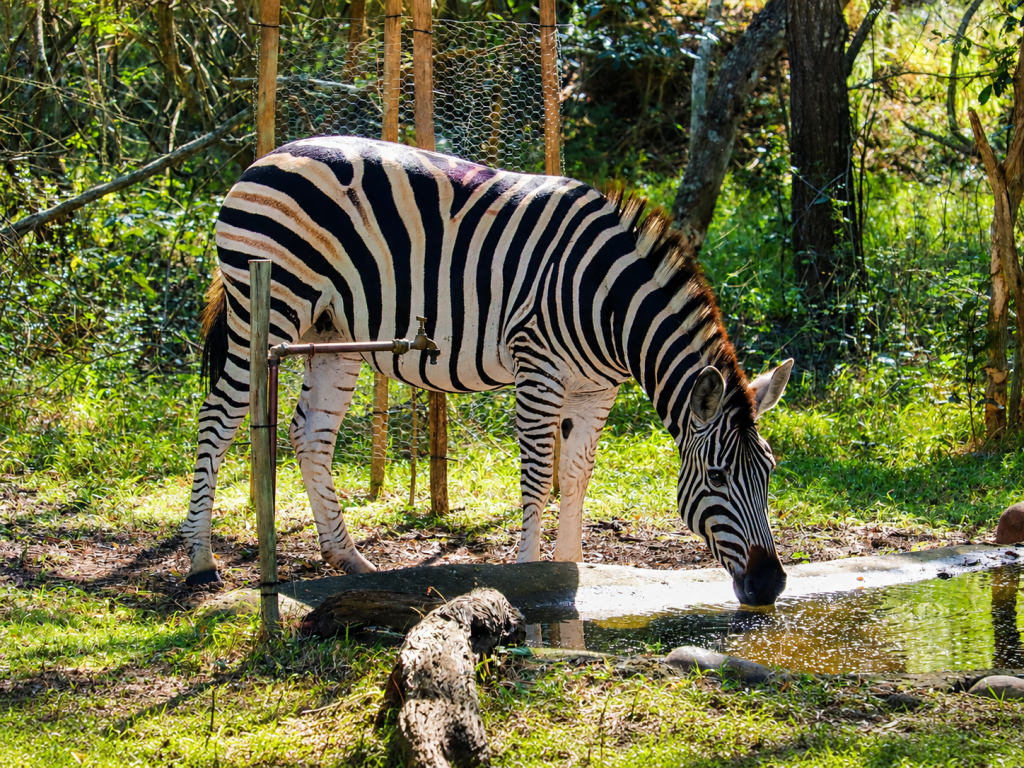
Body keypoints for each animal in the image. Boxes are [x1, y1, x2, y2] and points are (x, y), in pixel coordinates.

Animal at [184, 135, 794, 606]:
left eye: (768, 474)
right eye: (716, 477)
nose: (770, 586)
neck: (610, 303)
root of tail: (265, 157)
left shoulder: (596, 391)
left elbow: (575, 474)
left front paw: (572, 566)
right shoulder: (539, 368)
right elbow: (537, 475)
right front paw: (529, 573)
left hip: (333, 334)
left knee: (310, 435)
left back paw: (347, 557)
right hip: (264, 310)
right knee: (217, 420)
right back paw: (200, 560)